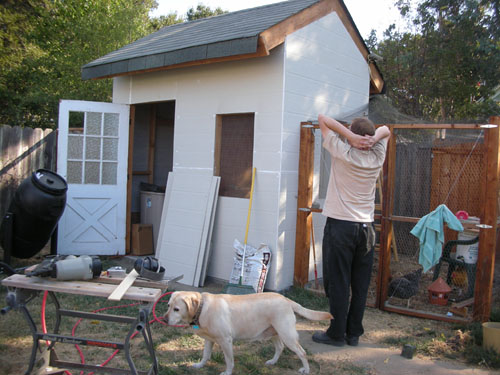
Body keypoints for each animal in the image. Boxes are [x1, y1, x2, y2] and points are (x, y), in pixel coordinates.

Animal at [166, 290, 334, 375]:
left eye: (177, 309)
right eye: (168, 306)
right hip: (273, 332)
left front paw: (227, 372)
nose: (164, 319)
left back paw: (306, 370)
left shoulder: (226, 340)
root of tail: (286, 299)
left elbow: (229, 360)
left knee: (302, 352)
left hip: (287, 335)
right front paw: (199, 365)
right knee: (280, 347)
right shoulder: (209, 339)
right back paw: (272, 362)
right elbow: (205, 355)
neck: (202, 308)